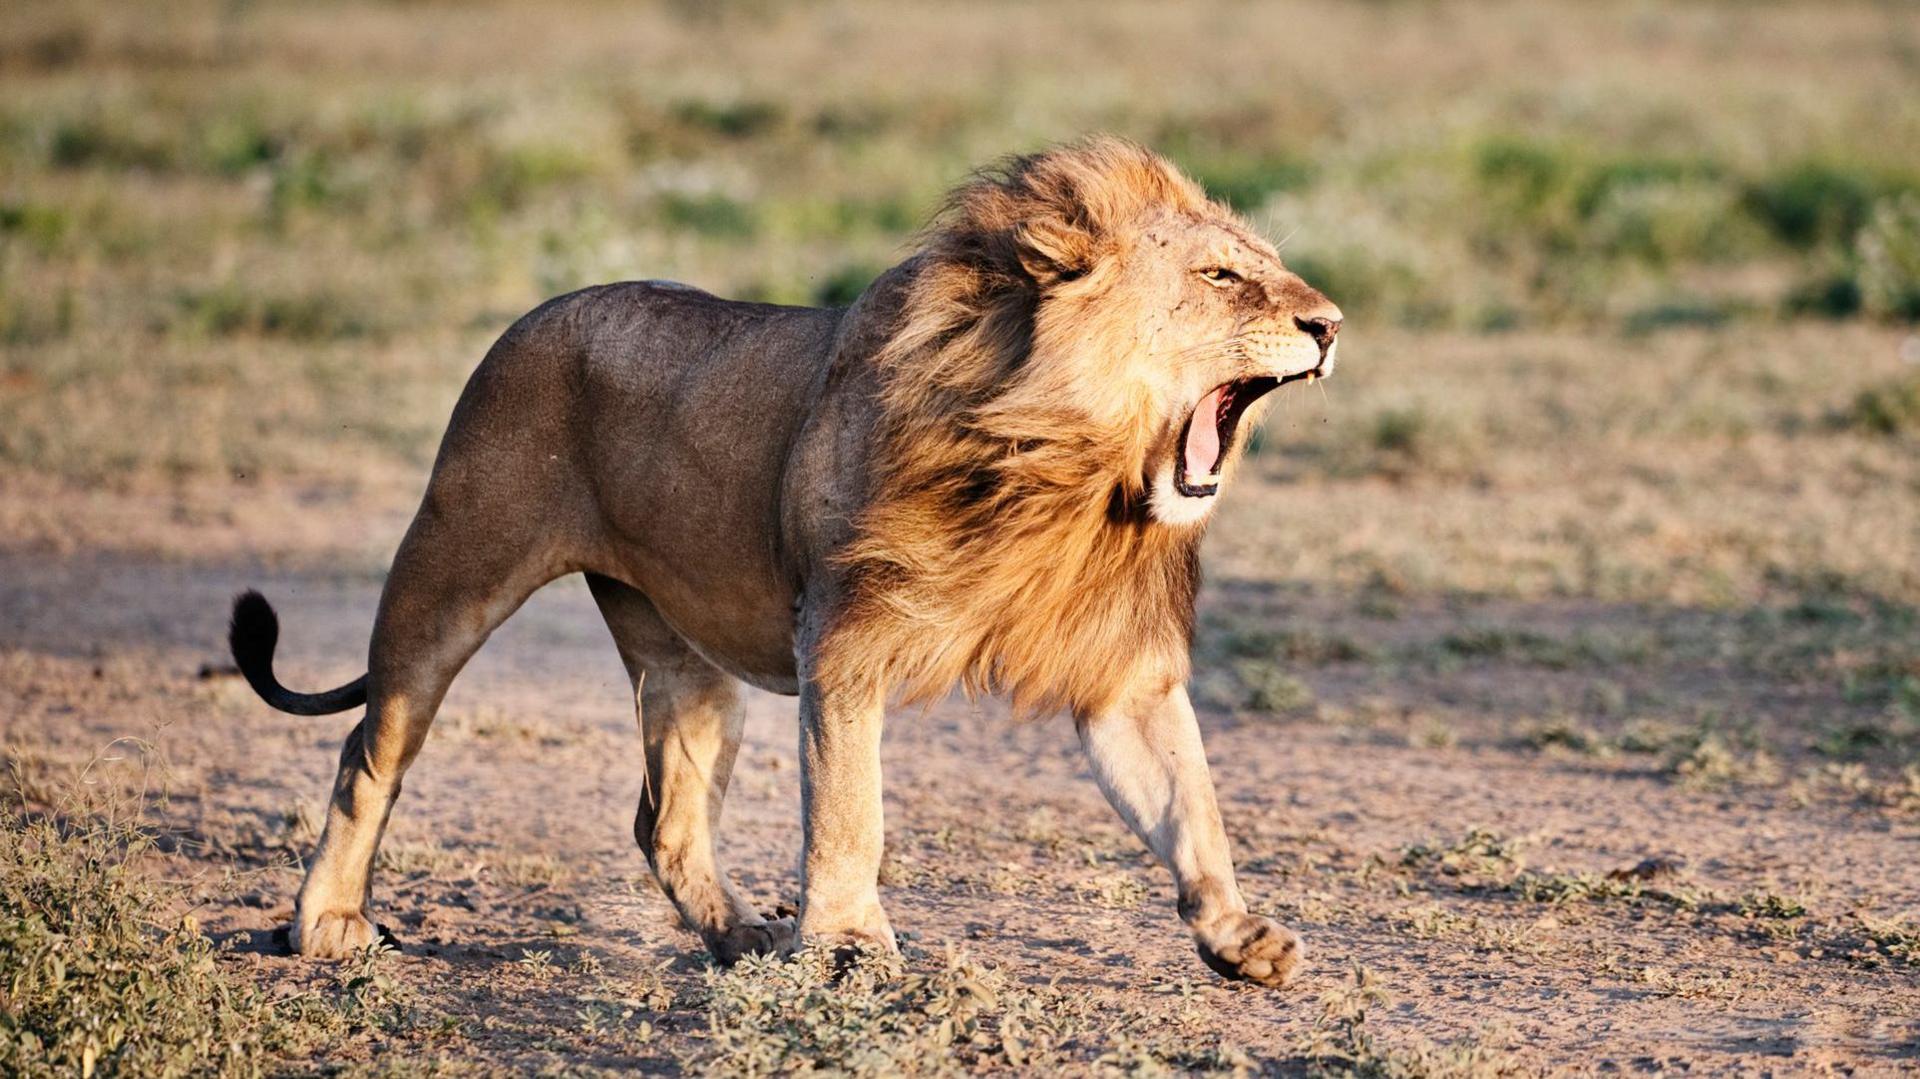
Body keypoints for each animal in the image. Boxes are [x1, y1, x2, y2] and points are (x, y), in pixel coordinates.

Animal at [229, 137, 1342, 987]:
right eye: (1220, 277)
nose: (1330, 325)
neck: (1061, 474)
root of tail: (537, 311)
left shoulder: (1123, 674)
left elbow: (1190, 803)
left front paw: (1236, 934)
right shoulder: (844, 641)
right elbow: (850, 813)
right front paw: (847, 945)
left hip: (684, 663)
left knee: (666, 820)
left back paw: (740, 938)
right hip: (449, 572)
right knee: (369, 750)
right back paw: (325, 923)